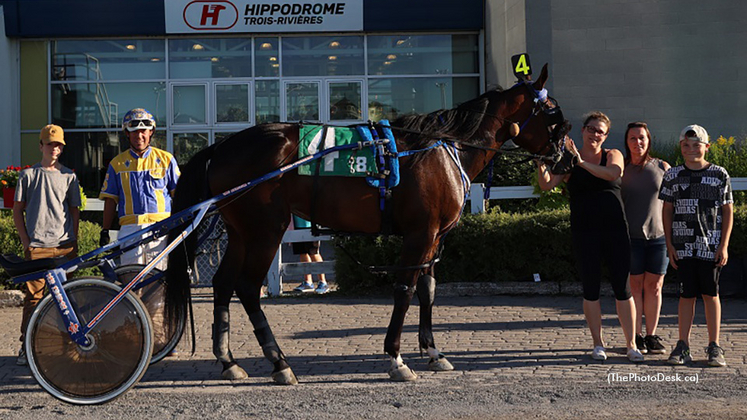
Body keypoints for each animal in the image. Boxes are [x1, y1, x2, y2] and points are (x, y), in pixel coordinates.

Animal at [165, 63, 572, 384]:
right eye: (553, 113)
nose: (568, 158)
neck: (443, 148)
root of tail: (222, 146)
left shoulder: (434, 237)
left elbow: (428, 291)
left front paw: (433, 352)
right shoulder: (419, 234)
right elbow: (405, 291)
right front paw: (396, 358)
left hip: (241, 231)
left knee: (222, 284)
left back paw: (229, 362)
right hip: (266, 230)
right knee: (248, 288)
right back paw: (279, 363)